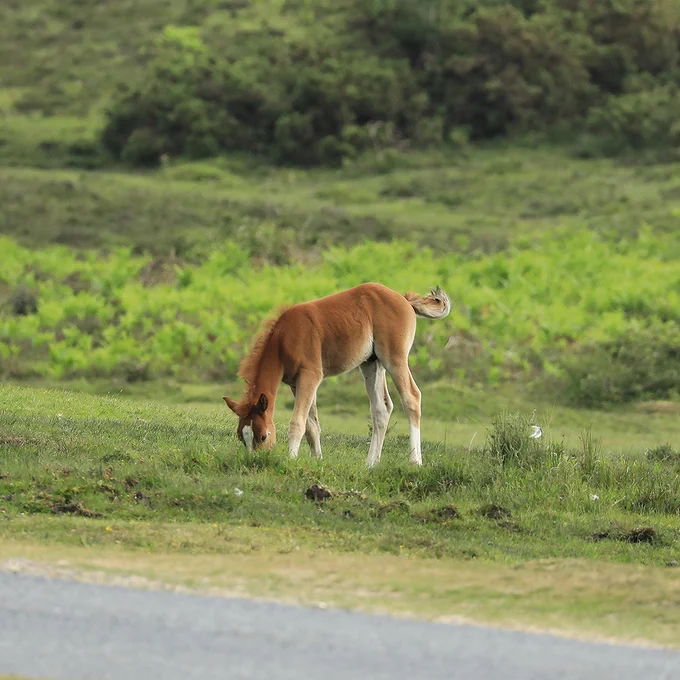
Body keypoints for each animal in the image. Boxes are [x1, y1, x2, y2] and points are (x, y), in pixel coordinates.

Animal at [223, 282, 450, 467]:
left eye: (263, 436)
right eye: (241, 437)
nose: (256, 461)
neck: (284, 339)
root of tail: (403, 299)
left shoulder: (310, 375)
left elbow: (297, 422)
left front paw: (291, 459)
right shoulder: (296, 383)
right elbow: (311, 425)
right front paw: (317, 460)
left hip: (394, 358)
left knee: (411, 398)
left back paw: (415, 462)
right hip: (372, 364)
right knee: (381, 409)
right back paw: (371, 464)